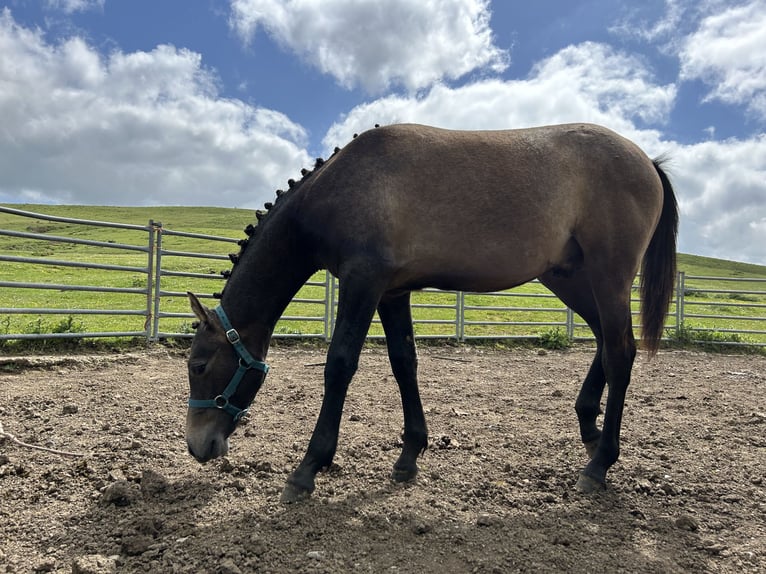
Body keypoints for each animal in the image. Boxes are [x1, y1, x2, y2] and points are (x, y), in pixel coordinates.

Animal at [184, 122, 680, 504]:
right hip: (571, 278)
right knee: (605, 342)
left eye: (199, 365)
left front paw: (308, 468)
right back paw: (588, 426)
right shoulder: (392, 292)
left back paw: (600, 463)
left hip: (608, 275)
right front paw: (410, 454)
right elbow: (404, 363)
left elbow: (339, 365)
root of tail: (647, 161)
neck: (343, 185)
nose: (198, 446)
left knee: (620, 352)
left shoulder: (363, 282)